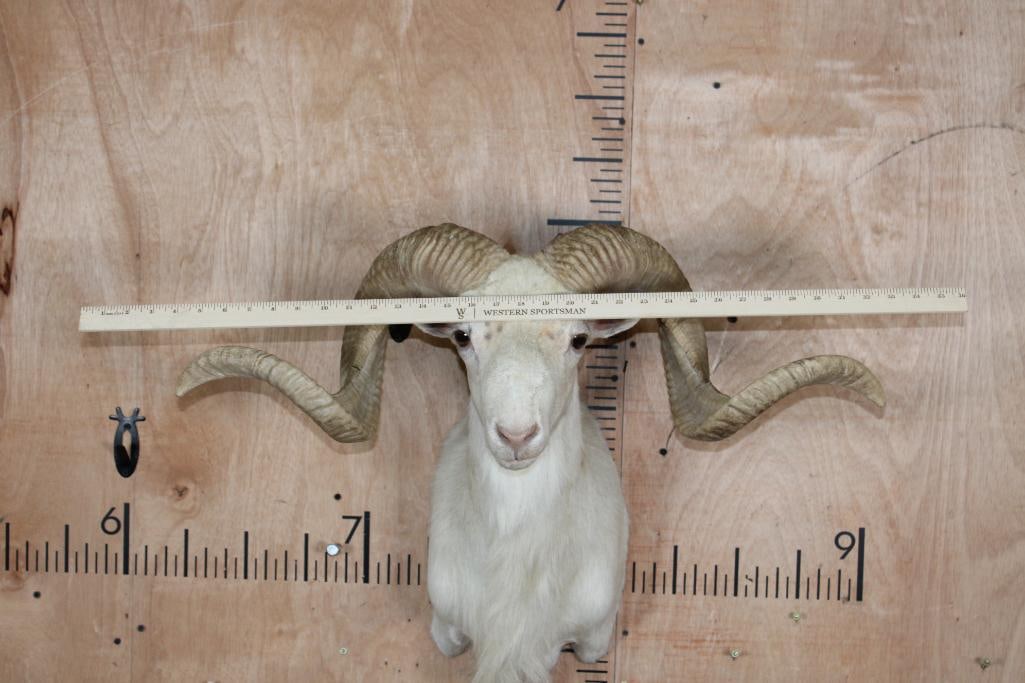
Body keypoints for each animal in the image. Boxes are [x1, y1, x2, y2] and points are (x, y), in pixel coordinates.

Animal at [176, 223, 885, 682]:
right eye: (463, 336)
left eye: (578, 339)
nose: (516, 437)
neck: (517, 573)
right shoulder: (449, 630)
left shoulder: (592, 638)